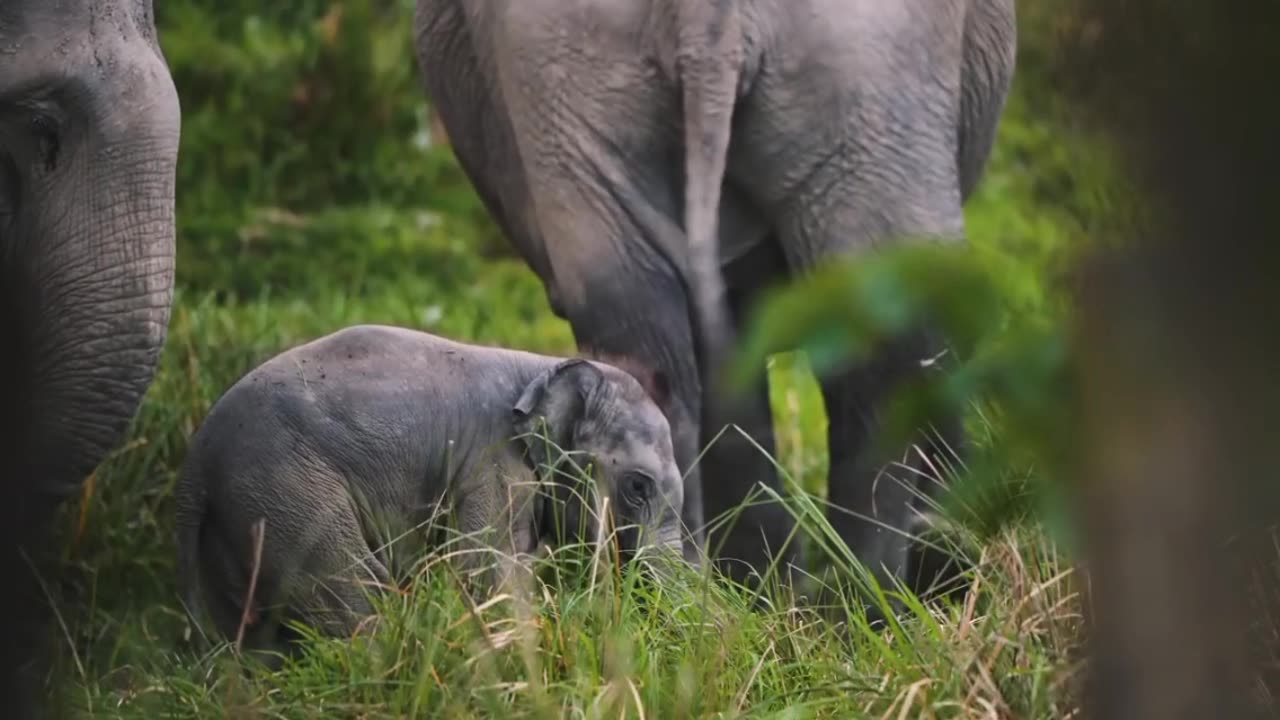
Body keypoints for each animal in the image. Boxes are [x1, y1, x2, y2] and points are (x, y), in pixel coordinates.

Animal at [177, 322, 691, 653]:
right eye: (637, 487)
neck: (543, 367)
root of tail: (197, 457)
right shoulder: (495, 465)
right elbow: (485, 571)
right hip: (289, 491)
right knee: (352, 588)